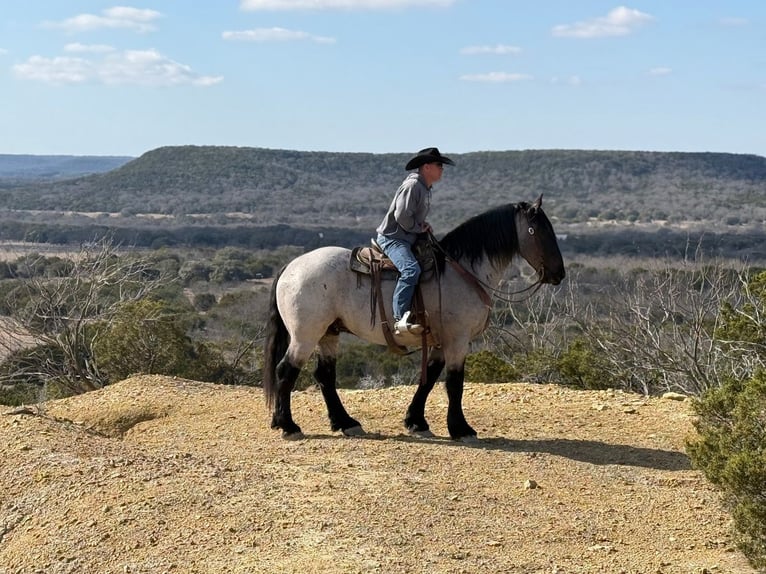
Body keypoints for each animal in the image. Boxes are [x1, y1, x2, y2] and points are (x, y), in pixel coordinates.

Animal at [263, 195, 565, 441]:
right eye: (536, 230)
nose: (559, 274)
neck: (461, 272)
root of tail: (290, 266)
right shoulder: (458, 339)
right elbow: (454, 382)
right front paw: (460, 429)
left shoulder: (441, 340)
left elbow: (429, 378)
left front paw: (416, 422)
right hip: (305, 335)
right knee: (286, 370)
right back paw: (288, 425)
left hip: (329, 333)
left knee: (324, 375)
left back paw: (345, 423)